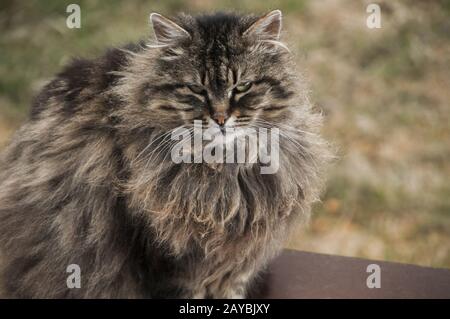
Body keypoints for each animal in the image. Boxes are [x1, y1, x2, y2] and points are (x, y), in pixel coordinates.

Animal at [0, 10, 330, 300]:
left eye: (243, 87)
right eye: (196, 89)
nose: (221, 118)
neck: (225, 170)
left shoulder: (235, 263)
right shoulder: (169, 260)